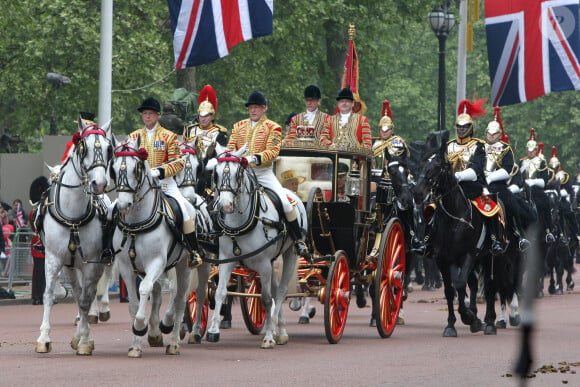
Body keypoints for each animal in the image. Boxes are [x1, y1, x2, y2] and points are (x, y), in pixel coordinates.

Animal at [36, 117, 114, 354]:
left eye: (108, 149)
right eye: (83, 147)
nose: (99, 184)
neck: (73, 217)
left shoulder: (92, 262)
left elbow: (86, 299)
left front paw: (85, 340)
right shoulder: (53, 258)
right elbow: (49, 295)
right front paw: (44, 338)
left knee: (91, 291)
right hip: (71, 265)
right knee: (79, 292)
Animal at [112, 138, 194, 360]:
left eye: (136, 169)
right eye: (113, 168)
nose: (123, 205)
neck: (136, 225)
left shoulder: (156, 262)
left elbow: (145, 289)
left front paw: (140, 326)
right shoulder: (126, 267)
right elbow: (134, 302)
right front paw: (135, 345)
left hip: (183, 266)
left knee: (180, 297)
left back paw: (173, 340)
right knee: (161, 293)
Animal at [205, 145, 304, 348]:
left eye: (238, 173)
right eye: (216, 173)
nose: (225, 205)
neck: (240, 223)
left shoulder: (264, 264)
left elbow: (266, 299)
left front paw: (268, 337)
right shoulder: (226, 260)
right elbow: (220, 292)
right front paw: (213, 331)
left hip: (290, 255)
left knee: (280, 292)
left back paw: (277, 330)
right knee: (275, 289)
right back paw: (280, 329)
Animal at [412, 132, 498, 338]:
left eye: (436, 167)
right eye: (420, 165)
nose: (417, 193)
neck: (453, 219)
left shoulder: (468, 255)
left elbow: (459, 285)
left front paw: (469, 317)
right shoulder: (443, 259)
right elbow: (451, 291)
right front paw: (452, 324)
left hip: (487, 257)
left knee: (489, 286)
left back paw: (489, 322)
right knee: (473, 283)